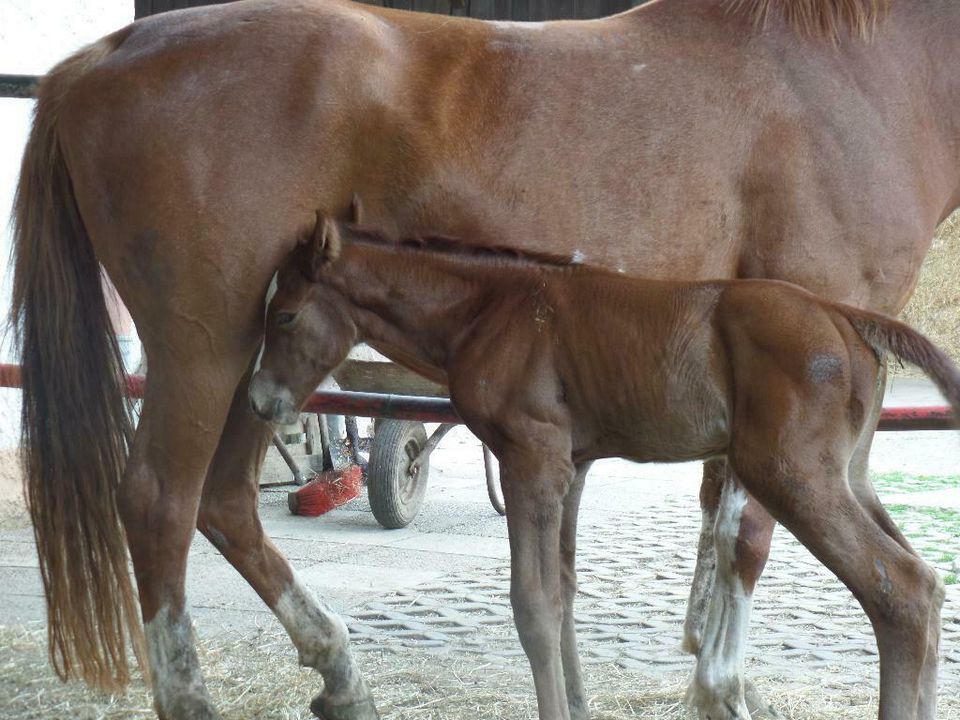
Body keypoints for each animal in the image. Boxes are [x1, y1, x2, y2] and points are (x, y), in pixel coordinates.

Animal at [251, 218, 956, 720]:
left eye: (284, 314)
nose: (260, 399)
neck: (492, 309)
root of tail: (846, 317)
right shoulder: (574, 465)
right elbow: (563, 591)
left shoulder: (529, 459)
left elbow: (533, 603)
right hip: (849, 477)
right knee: (926, 581)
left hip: (791, 475)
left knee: (900, 591)